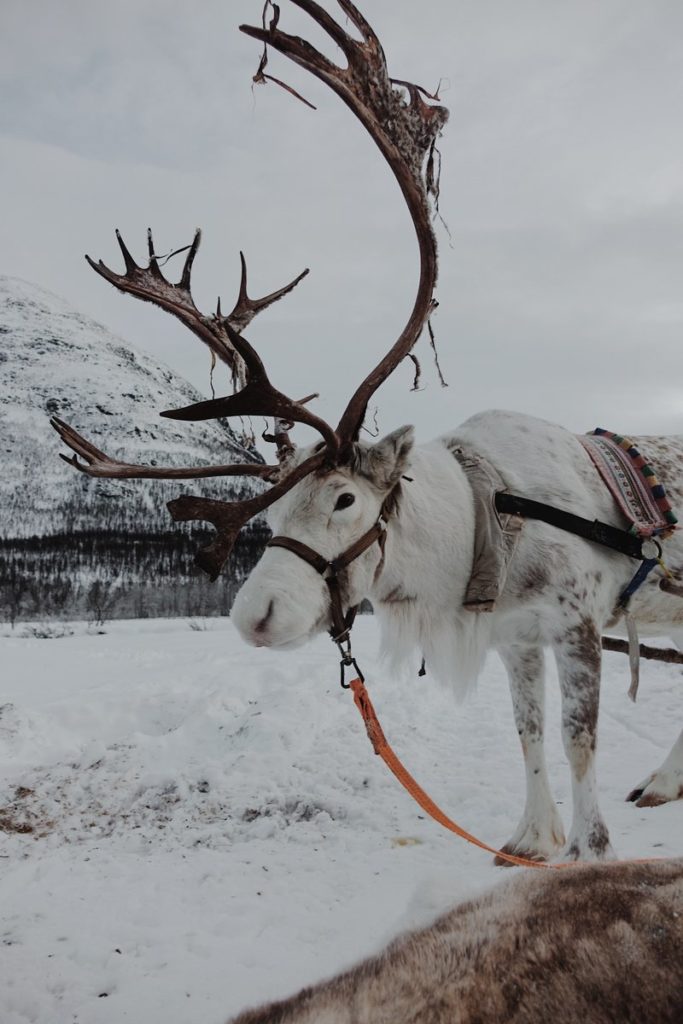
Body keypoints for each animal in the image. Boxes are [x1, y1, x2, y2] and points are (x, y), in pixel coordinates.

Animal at [51, 0, 683, 865]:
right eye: (275, 513)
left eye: (345, 500)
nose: (254, 618)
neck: (486, 520)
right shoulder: (516, 639)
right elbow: (526, 732)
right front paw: (528, 839)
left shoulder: (575, 624)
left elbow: (576, 738)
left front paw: (588, 849)